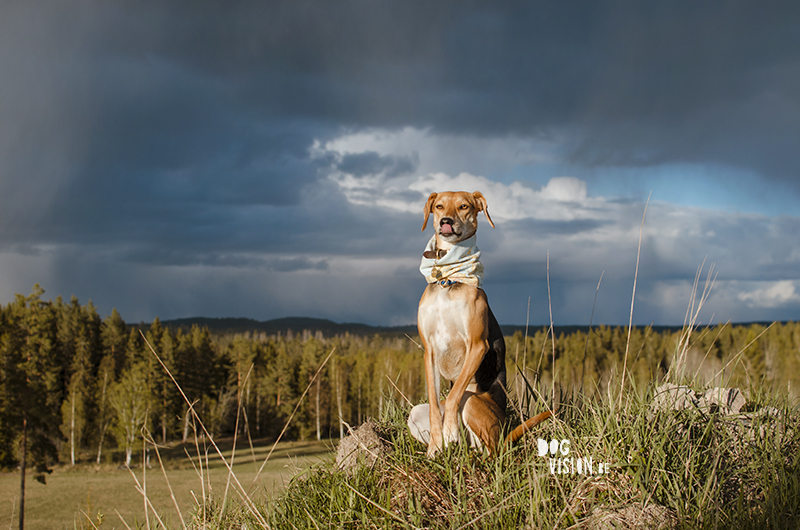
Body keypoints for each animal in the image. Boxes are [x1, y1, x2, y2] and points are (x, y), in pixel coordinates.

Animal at [406, 190, 552, 454]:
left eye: (464, 206)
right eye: (439, 206)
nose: (446, 221)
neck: (448, 280)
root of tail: (503, 432)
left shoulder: (477, 346)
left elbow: (453, 397)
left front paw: (449, 431)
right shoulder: (429, 351)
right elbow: (434, 407)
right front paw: (435, 447)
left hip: (473, 402)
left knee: (492, 449)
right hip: (416, 414)